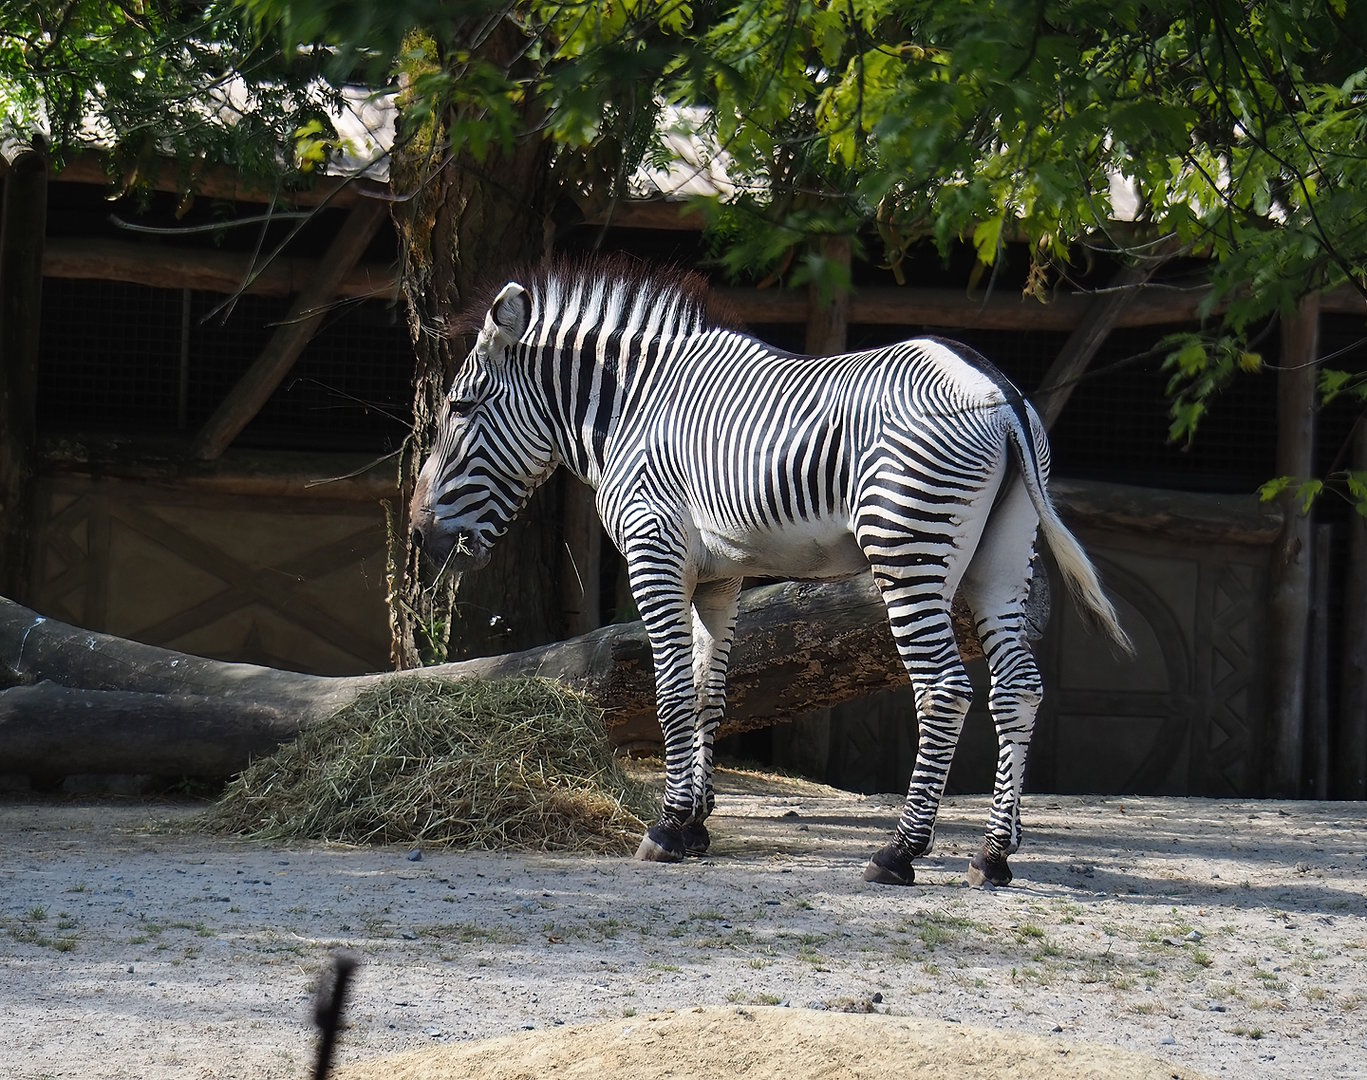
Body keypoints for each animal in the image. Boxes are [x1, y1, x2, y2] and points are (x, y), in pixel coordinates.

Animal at [410, 257, 1132, 887]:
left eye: (460, 408)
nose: (419, 534)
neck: (629, 410)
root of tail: (997, 389)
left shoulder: (654, 551)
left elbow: (671, 694)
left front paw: (666, 828)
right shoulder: (718, 577)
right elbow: (709, 695)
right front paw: (696, 824)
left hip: (907, 546)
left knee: (946, 689)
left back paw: (899, 852)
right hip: (1000, 562)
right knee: (1019, 689)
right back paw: (994, 854)